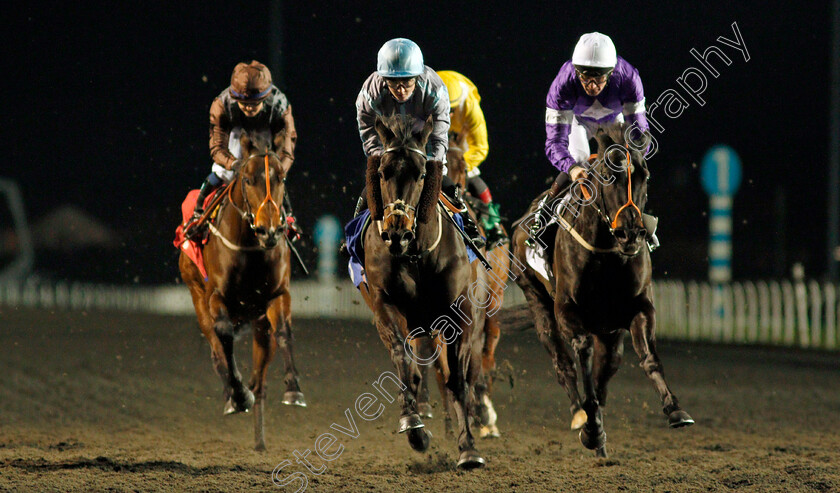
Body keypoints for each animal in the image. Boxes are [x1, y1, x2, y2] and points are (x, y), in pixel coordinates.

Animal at [177, 130, 306, 450]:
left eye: (281, 178)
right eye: (248, 179)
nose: (268, 229)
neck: (250, 247)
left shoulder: (277, 296)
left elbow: (283, 332)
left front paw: (294, 389)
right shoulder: (216, 298)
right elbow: (223, 338)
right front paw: (237, 396)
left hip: (259, 325)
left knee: (259, 378)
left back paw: (259, 438)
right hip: (197, 296)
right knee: (216, 349)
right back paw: (233, 396)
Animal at [358, 113, 488, 468]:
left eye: (420, 174)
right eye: (382, 172)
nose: (396, 233)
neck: (415, 254)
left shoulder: (458, 316)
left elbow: (457, 379)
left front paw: (468, 448)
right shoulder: (385, 306)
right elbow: (405, 363)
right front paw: (413, 425)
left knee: (466, 372)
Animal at [512, 125, 696, 456]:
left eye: (644, 175)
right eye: (610, 176)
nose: (630, 233)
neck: (607, 252)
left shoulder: (638, 307)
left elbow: (647, 356)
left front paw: (675, 409)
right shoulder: (567, 309)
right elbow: (582, 353)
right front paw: (592, 427)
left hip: (608, 332)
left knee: (606, 367)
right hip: (536, 298)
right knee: (562, 363)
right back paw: (580, 415)